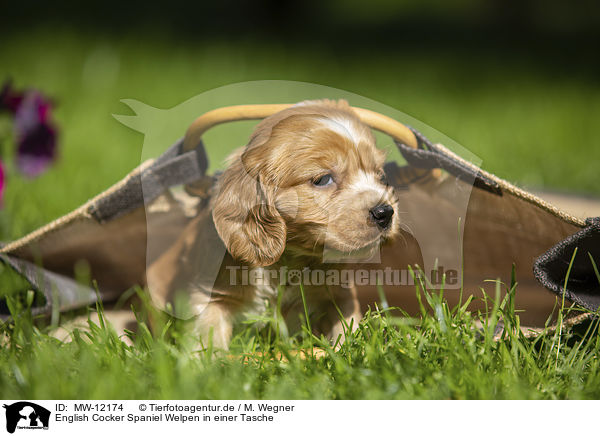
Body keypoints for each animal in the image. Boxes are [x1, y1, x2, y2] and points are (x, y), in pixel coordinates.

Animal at [146, 99, 398, 348]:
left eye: (381, 176)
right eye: (323, 179)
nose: (385, 212)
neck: (291, 260)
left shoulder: (339, 293)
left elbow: (346, 324)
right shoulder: (210, 294)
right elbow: (208, 336)